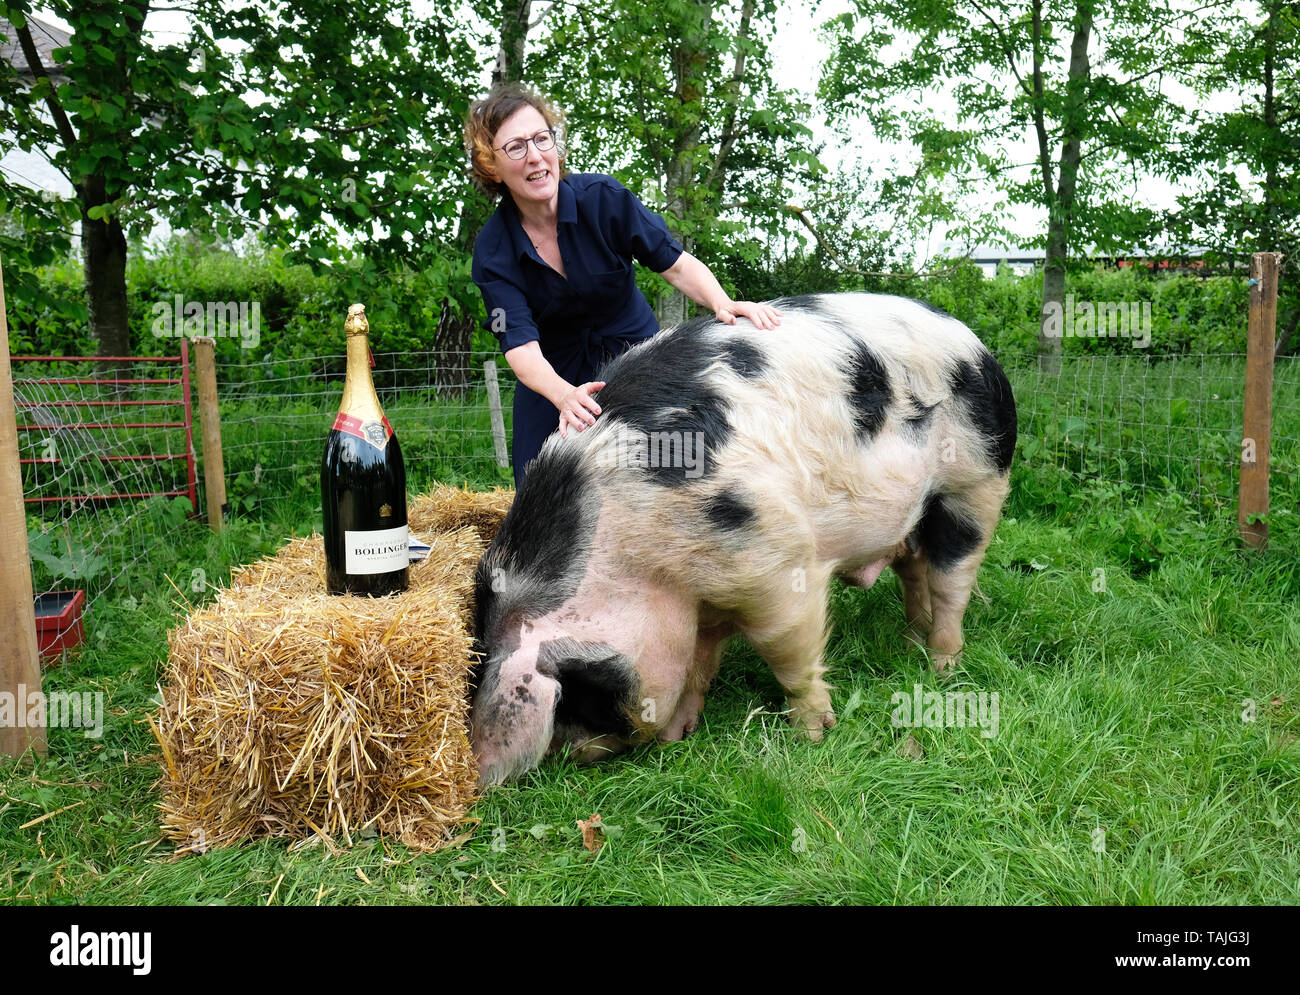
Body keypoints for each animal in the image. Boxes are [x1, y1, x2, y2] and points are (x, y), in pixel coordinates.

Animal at [470, 292, 1016, 786]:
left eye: (583, 687)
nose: (576, 754)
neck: (630, 549)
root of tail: (978, 347)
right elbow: (699, 660)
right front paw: (679, 735)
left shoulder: (775, 562)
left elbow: (786, 649)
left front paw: (812, 734)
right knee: (913, 567)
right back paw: (910, 642)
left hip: (976, 481)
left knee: (953, 575)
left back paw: (941, 665)